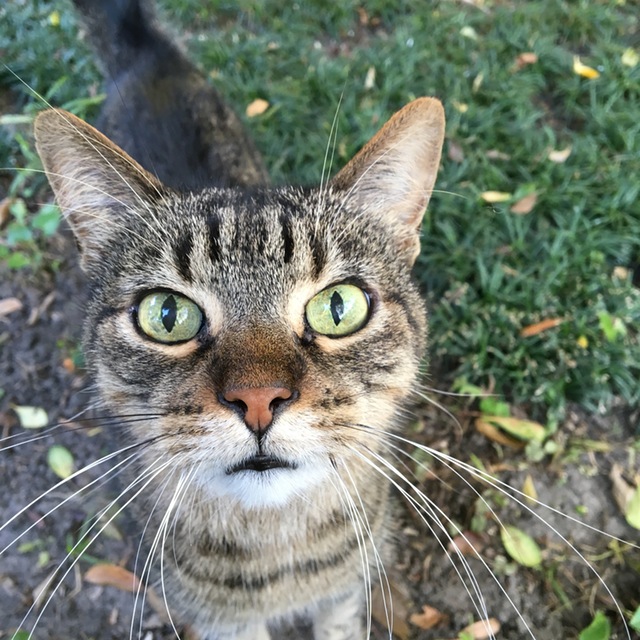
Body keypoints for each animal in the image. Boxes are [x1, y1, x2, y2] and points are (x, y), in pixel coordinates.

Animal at [26, 0, 444, 636]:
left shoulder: (345, 595)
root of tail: (146, 52)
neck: (280, 559)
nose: (258, 399)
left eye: (338, 308)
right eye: (166, 315)